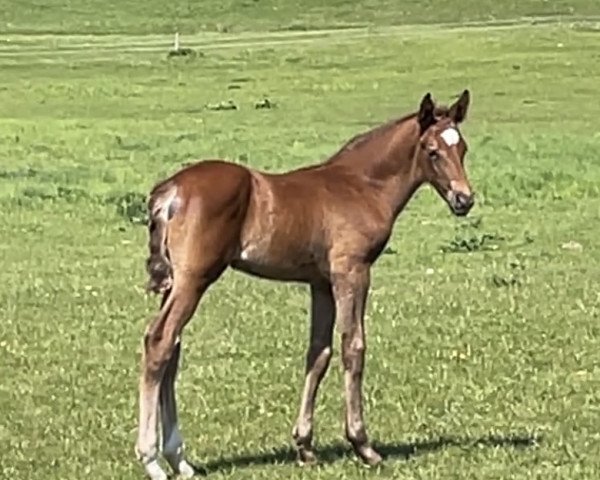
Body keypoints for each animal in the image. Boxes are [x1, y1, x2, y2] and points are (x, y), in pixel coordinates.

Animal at [135, 90, 474, 480]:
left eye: (462, 148)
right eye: (432, 151)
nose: (464, 200)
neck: (361, 185)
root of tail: (170, 191)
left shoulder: (320, 283)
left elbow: (318, 352)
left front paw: (305, 446)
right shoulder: (352, 272)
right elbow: (353, 347)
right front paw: (363, 445)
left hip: (175, 282)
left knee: (171, 349)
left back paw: (179, 458)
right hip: (195, 278)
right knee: (160, 341)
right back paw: (152, 459)